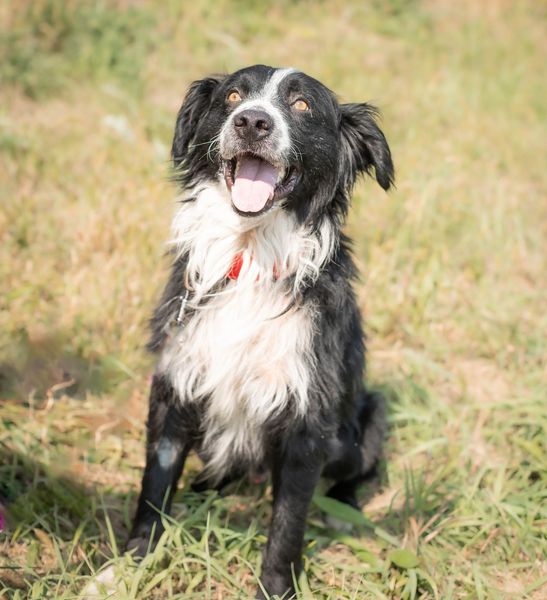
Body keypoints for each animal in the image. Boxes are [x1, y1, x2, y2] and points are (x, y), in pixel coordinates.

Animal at [128, 63, 394, 596]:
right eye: (233, 96)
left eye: (302, 104)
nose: (252, 122)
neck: (249, 255)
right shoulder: (175, 385)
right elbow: (153, 489)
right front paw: (121, 569)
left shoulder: (306, 418)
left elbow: (287, 525)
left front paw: (276, 587)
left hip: (369, 416)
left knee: (358, 467)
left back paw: (345, 506)